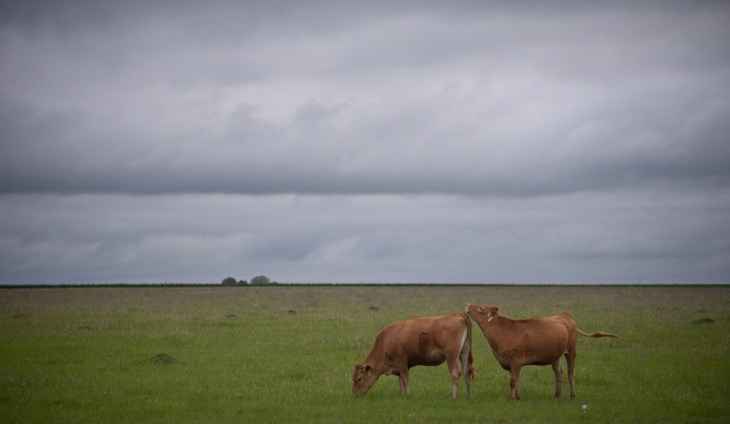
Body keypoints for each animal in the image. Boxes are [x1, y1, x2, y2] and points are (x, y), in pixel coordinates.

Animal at [465, 303, 618, 400]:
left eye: (481, 307)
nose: (467, 304)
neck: (502, 331)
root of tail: (565, 315)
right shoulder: (509, 363)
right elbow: (516, 380)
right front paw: (517, 396)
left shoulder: (516, 361)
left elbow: (513, 380)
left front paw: (511, 398)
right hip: (556, 355)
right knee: (558, 372)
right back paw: (557, 394)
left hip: (571, 351)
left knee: (570, 373)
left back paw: (573, 395)